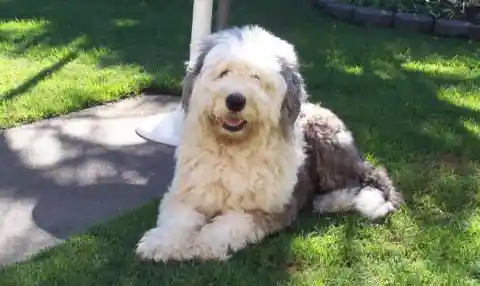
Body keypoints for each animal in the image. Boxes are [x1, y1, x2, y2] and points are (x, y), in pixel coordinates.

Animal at [133, 25, 404, 262]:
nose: (235, 100)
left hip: (328, 144)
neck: (233, 147)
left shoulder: (265, 209)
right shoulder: (187, 195)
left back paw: (329, 201)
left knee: (361, 180)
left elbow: (230, 224)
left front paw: (204, 244)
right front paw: (162, 244)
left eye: (257, 78)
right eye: (224, 72)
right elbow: (177, 220)